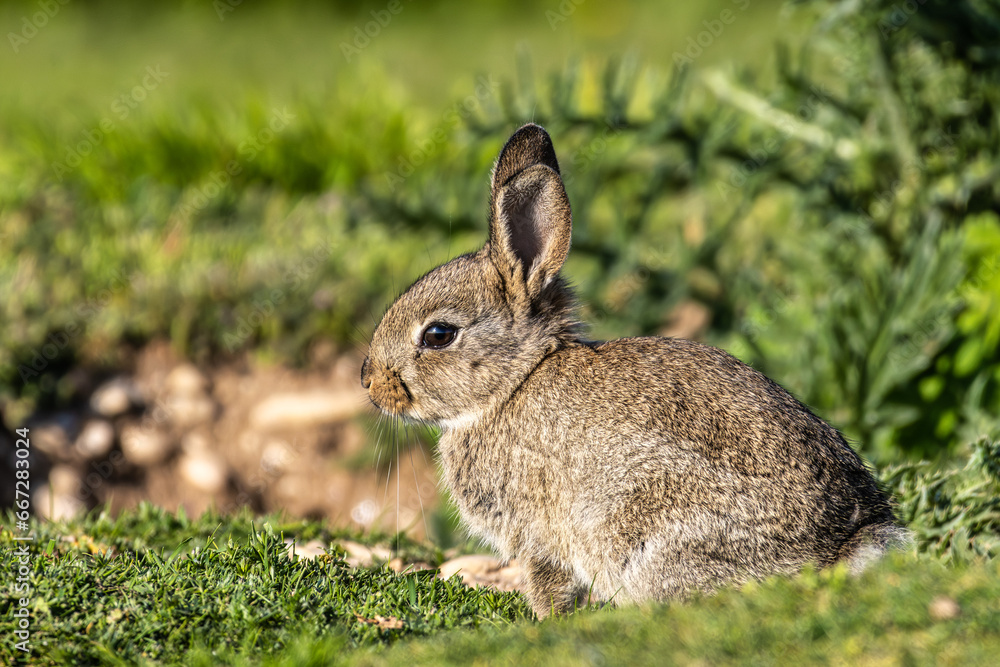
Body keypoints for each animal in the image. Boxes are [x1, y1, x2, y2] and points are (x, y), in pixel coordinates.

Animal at [361, 123, 909, 617]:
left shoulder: (539, 535)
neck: (516, 380)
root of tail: (843, 546)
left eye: (438, 335)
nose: (368, 381)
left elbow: (548, 584)